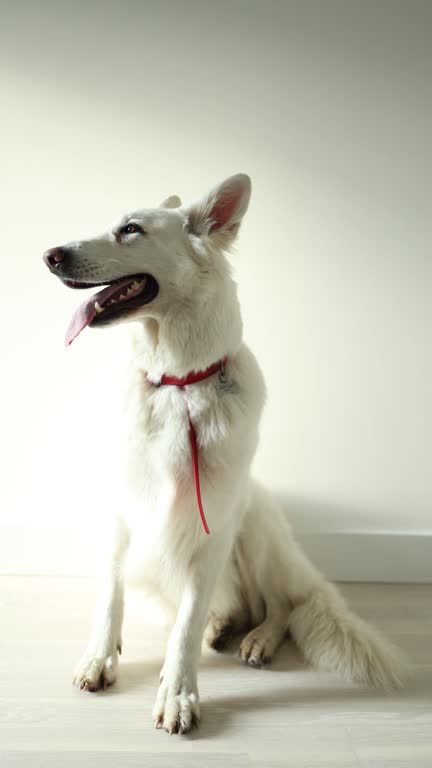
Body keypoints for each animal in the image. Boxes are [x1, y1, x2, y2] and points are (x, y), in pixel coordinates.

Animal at [44, 172, 408, 732]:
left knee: (281, 605)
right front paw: (100, 658)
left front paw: (179, 693)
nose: (50, 255)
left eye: (131, 229)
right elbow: (111, 597)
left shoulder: (212, 527)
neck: (177, 382)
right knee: (228, 608)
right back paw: (224, 624)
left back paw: (257, 638)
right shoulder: (122, 516)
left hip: (253, 523)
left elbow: (186, 626)